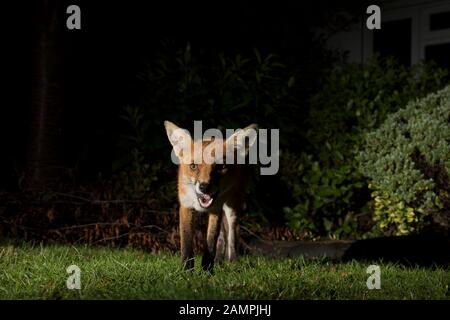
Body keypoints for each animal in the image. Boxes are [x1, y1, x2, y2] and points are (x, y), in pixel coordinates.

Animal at [164, 121, 256, 272]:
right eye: (193, 166)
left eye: (221, 167)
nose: (204, 187)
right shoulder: (186, 206)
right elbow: (187, 243)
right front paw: (186, 270)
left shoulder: (216, 209)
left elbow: (210, 242)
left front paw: (206, 270)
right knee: (223, 236)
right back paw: (219, 261)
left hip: (232, 206)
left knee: (232, 233)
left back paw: (232, 262)